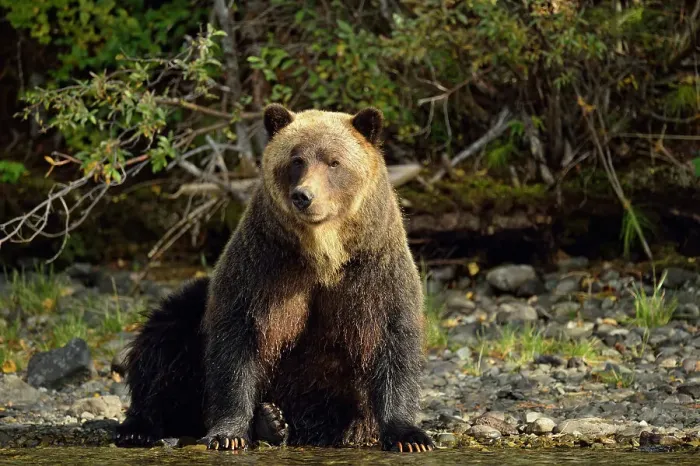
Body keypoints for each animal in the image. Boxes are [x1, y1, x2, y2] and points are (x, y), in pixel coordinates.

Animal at [115, 104, 434, 453]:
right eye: (296, 159)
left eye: (334, 161)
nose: (304, 196)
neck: (324, 254)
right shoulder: (264, 268)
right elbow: (237, 341)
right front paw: (228, 434)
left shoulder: (373, 271)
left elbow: (393, 339)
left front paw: (410, 436)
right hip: (195, 310)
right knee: (163, 339)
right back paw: (141, 427)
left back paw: (281, 423)